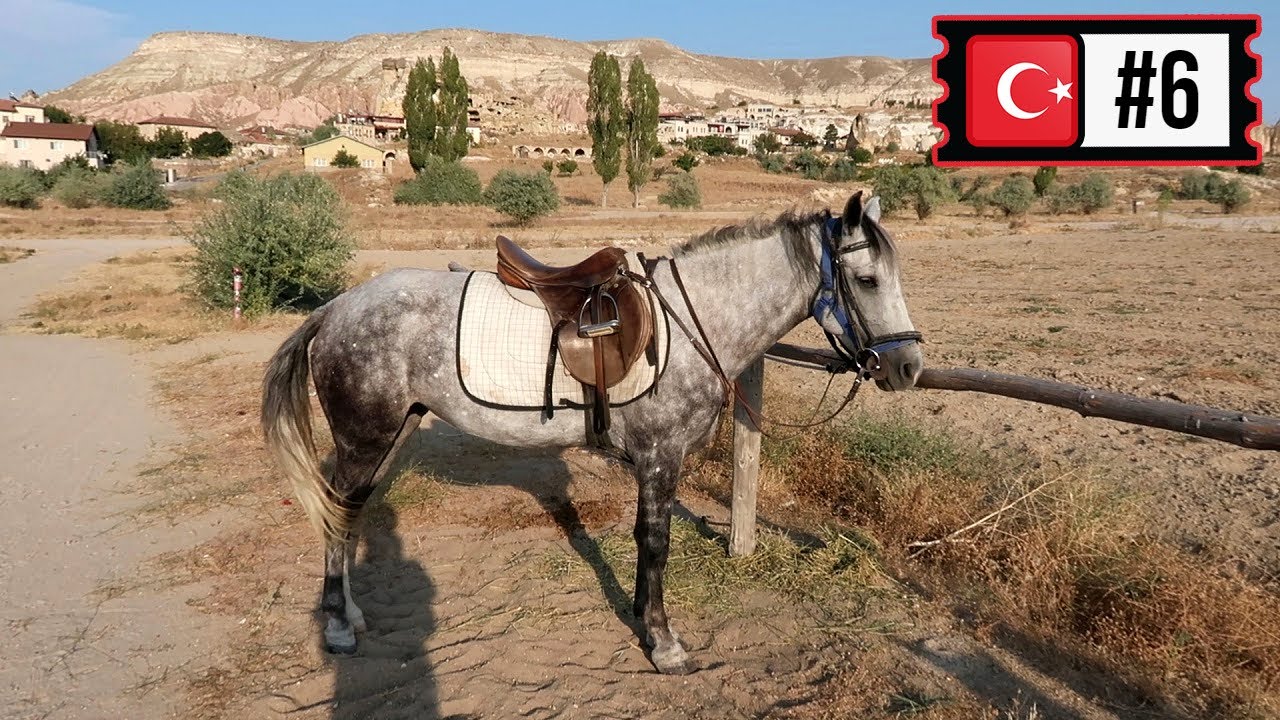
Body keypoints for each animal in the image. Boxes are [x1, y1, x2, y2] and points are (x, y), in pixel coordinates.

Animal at [261, 190, 923, 675]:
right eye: (867, 279)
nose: (908, 368)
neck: (693, 323)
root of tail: (335, 308)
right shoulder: (661, 456)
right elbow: (655, 542)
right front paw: (663, 642)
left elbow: (645, 541)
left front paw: (641, 614)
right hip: (364, 441)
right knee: (337, 516)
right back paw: (339, 627)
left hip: (390, 435)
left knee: (348, 513)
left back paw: (351, 613)